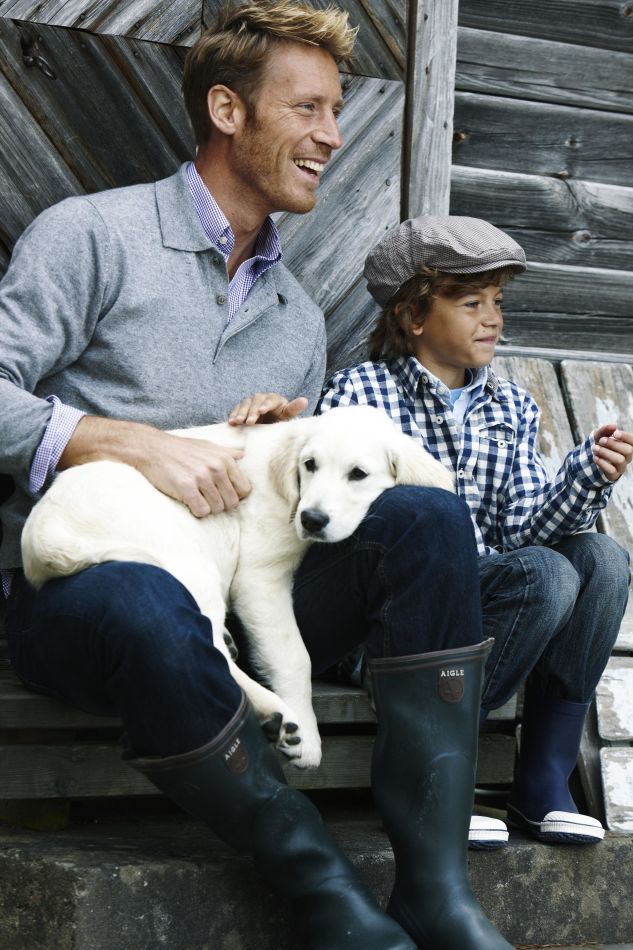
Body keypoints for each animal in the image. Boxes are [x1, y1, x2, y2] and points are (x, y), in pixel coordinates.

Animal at [21, 405, 454, 768]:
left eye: (358, 474)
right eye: (310, 465)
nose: (312, 520)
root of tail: (43, 533)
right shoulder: (260, 576)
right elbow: (294, 656)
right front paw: (309, 737)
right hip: (186, 555)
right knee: (205, 645)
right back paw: (277, 714)